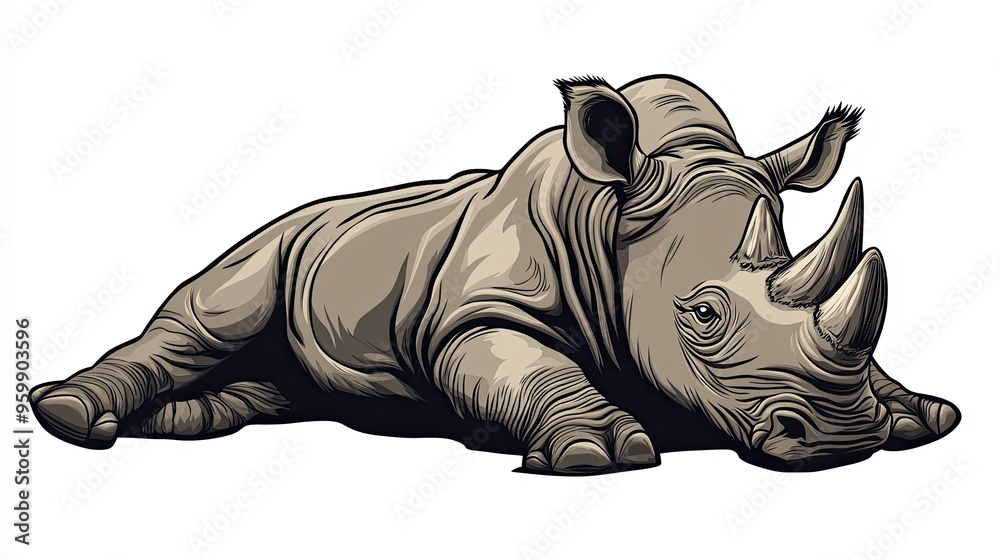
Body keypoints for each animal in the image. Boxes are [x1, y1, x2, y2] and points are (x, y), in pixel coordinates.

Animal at [31, 74, 959, 474]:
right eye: (701, 315)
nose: (840, 443)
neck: (611, 216)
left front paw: (916, 416)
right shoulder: (476, 311)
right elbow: (525, 362)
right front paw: (601, 452)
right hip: (278, 237)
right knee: (209, 313)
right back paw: (71, 417)